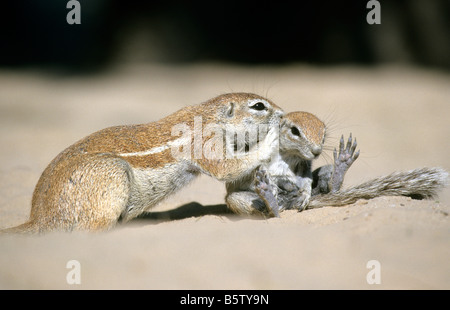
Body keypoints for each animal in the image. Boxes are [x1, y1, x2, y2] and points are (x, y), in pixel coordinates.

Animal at [1, 92, 284, 232]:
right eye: (259, 106)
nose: (282, 114)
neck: (208, 114)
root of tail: (41, 219)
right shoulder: (205, 140)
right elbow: (226, 167)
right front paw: (273, 136)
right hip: (112, 172)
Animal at [225, 112, 446, 218]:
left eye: (323, 133)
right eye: (295, 131)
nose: (316, 151)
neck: (289, 154)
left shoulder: (305, 165)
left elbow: (306, 180)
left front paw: (303, 191)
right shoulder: (258, 156)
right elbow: (254, 173)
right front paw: (277, 184)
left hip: (324, 178)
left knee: (329, 183)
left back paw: (340, 167)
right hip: (237, 200)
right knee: (271, 212)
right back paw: (271, 198)